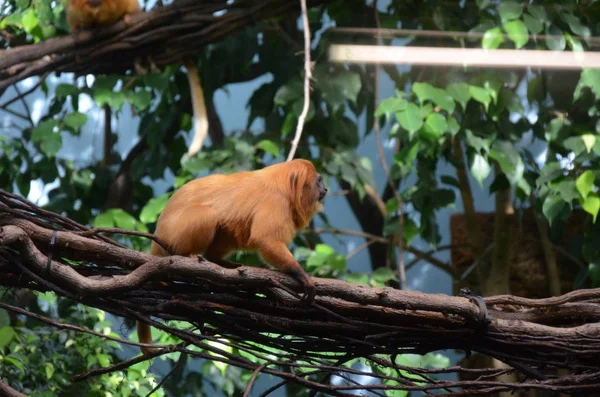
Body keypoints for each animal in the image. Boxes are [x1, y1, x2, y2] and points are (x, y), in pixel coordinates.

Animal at [138, 159, 328, 352]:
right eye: (319, 181)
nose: (325, 189)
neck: (284, 187)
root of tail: (159, 232)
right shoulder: (275, 201)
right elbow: (266, 238)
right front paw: (300, 275)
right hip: (173, 231)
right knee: (207, 214)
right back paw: (186, 255)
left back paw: (219, 262)